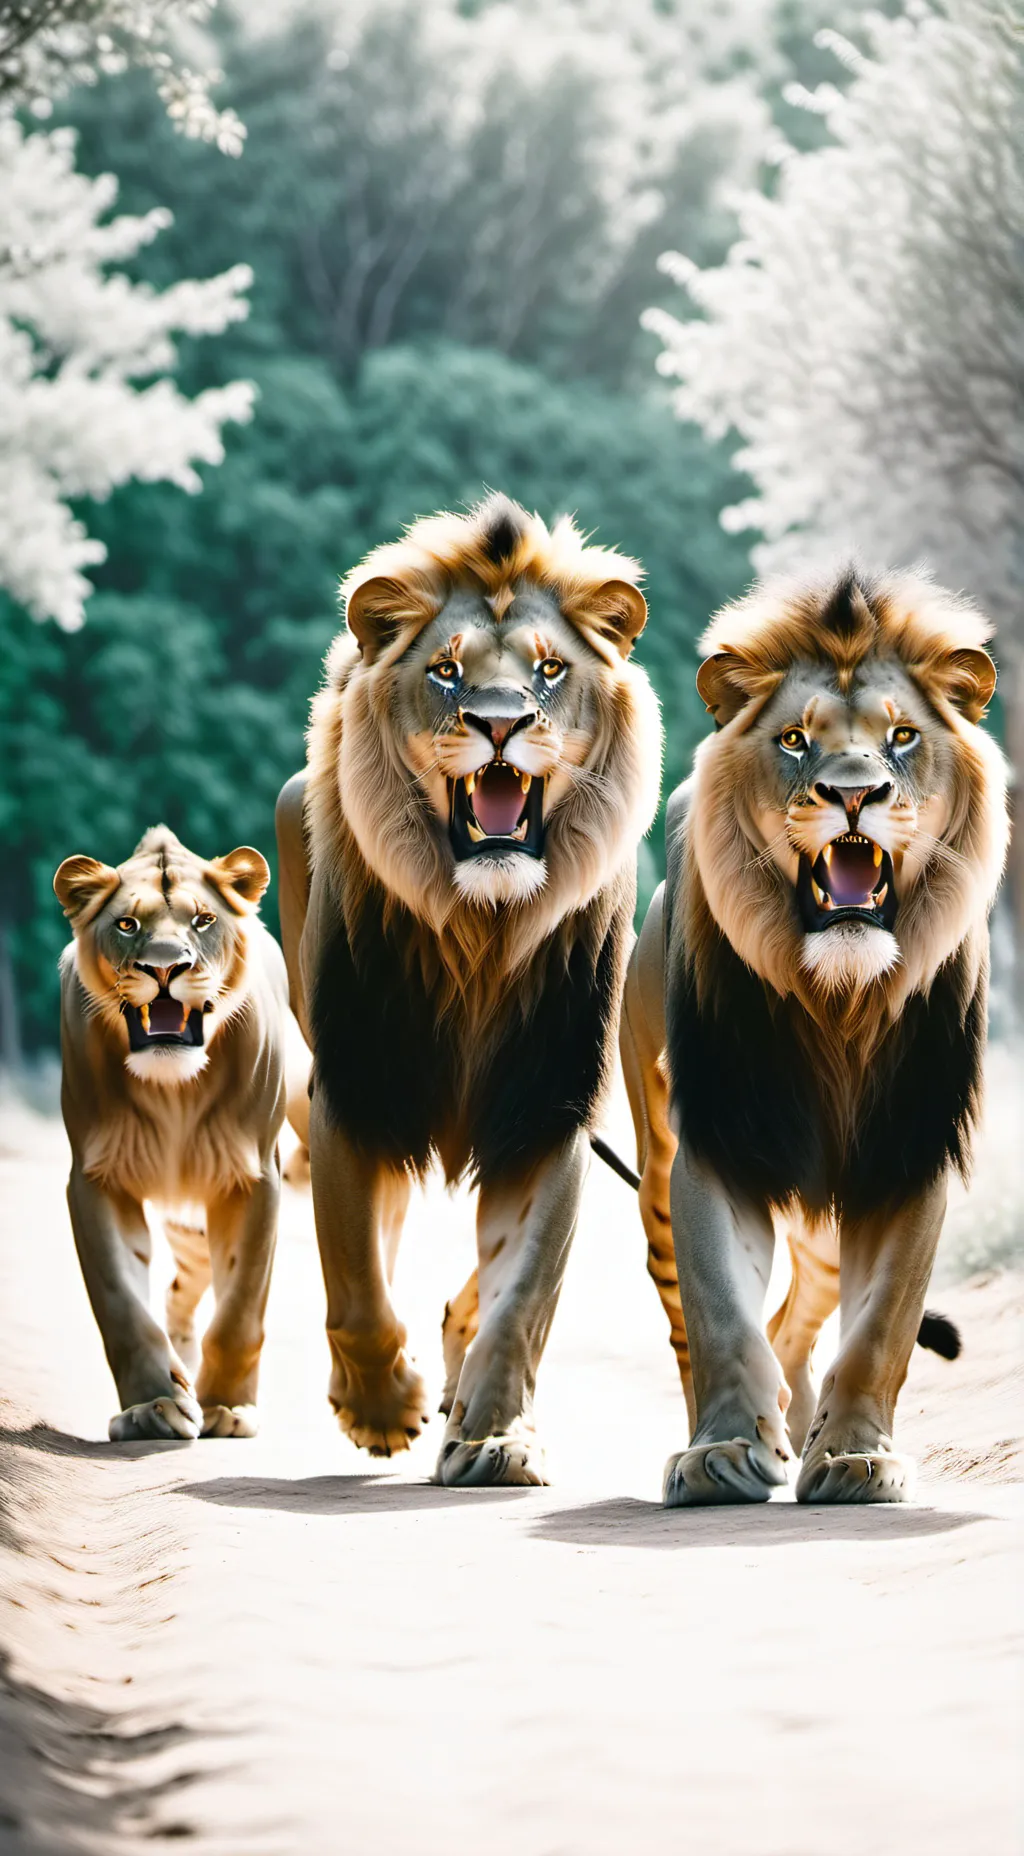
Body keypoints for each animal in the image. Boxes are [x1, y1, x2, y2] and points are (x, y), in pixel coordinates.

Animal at [54, 825, 299, 1442]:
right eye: (126, 924)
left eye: (204, 920)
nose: (166, 969)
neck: (174, 1092)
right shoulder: (95, 1180)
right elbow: (122, 1304)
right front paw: (153, 1406)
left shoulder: (253, 1177)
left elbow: (240, 1308)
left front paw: (228, 1408)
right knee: (176, 1293)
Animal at [275, 492, 661, 1485]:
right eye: (447, 673)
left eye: (550, 670)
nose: (498, 722)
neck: (480, 934)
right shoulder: (357, 1089)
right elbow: (353, 1272)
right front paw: (380, 1407)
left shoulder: (550, 1103)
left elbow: (522, 1293)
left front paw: (493, 1435)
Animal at [621, 569, 1008, 1505]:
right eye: (796, 741)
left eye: (902, 737)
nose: (854, 794)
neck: (839, 1000)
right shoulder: (718, 1140)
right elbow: (721, 1313)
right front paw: (724, 1449)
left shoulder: (908, 1147)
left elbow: (882, 1330)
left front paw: (857, 1455)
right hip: (654, 1175)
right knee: (699, 1320)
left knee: (797, 1320)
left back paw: (801, 1428)